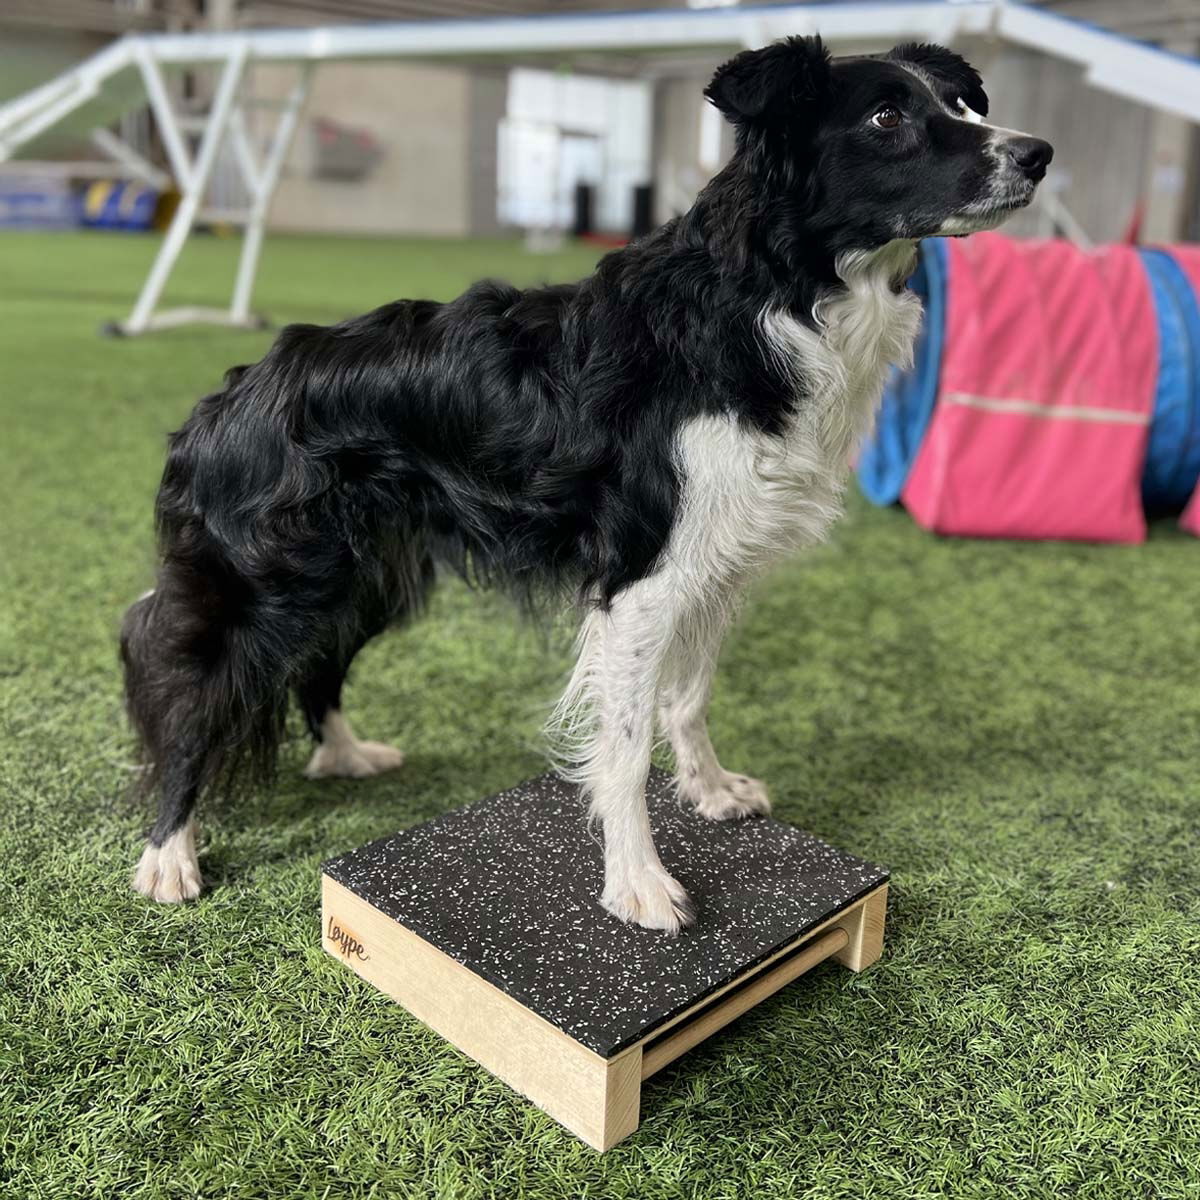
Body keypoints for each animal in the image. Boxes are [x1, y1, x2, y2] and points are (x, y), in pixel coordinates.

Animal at [122, 36, 1050, 931]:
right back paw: (170, 854)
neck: (768, 296)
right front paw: (638, 885)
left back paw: (344, 755)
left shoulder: (715, 562)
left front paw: (710, 791)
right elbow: (628, 744)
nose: (1038, 152)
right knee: (189, 692)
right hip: (269, 584)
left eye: (961, 103)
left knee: (317, 664)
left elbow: (690, 698)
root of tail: (228, 394)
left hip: (365, 574)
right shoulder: (639, 575)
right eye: (888, 118)